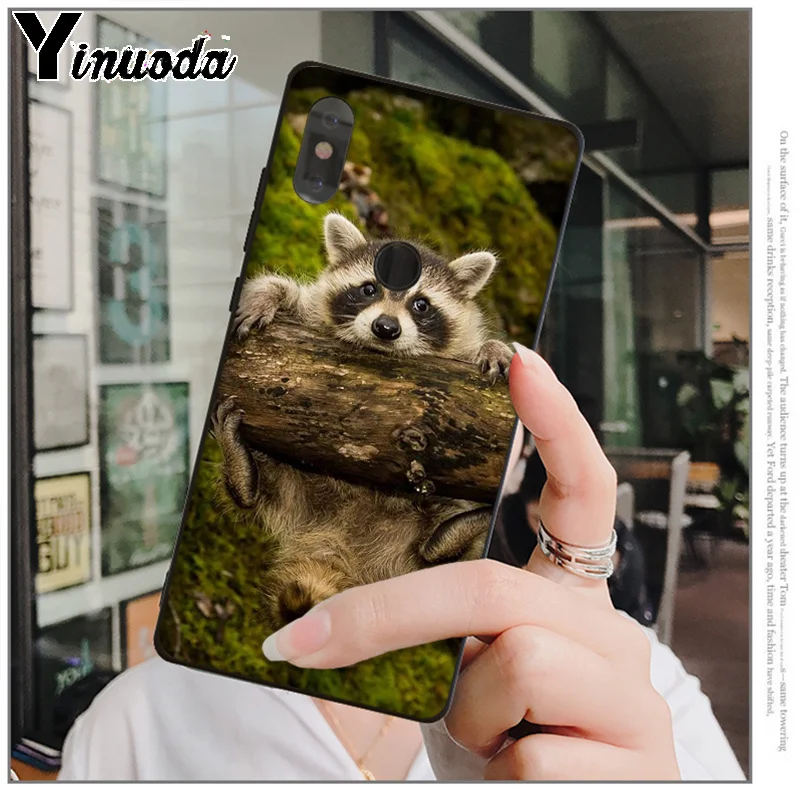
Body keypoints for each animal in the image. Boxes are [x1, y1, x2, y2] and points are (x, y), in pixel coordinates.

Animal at [212, 213, 513, 628]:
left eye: (421, 304)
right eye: (368, 289)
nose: (386, 328)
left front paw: (494, 346)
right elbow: (290, 295)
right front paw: (268, 293)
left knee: (434, 546)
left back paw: (449, 540)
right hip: (294, 485)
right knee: (265, 487)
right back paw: (242, 473)